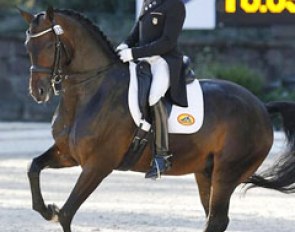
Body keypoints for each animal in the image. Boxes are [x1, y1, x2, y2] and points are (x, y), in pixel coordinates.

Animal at [20, 7, 295, 232]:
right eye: (27, 47)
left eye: (49, 46)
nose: (38, 92)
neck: (90, 90)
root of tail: (261, 106)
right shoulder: (69, 154)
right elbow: (33, 166)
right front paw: (46, 209)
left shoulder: (98, 165)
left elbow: (67, 213)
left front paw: (54, 211)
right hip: (206, 171)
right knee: (213, 219)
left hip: (227, 172)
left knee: (217, 219)